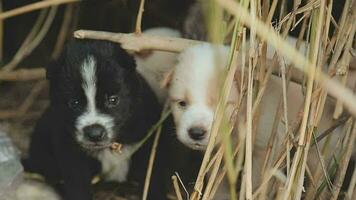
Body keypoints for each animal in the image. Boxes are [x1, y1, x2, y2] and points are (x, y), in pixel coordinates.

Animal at [26, 39, 161, 199]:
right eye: (74, 103)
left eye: (113, 100)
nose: (95, 134)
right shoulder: (68, 149)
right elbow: (77, 183)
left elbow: (154, 176)